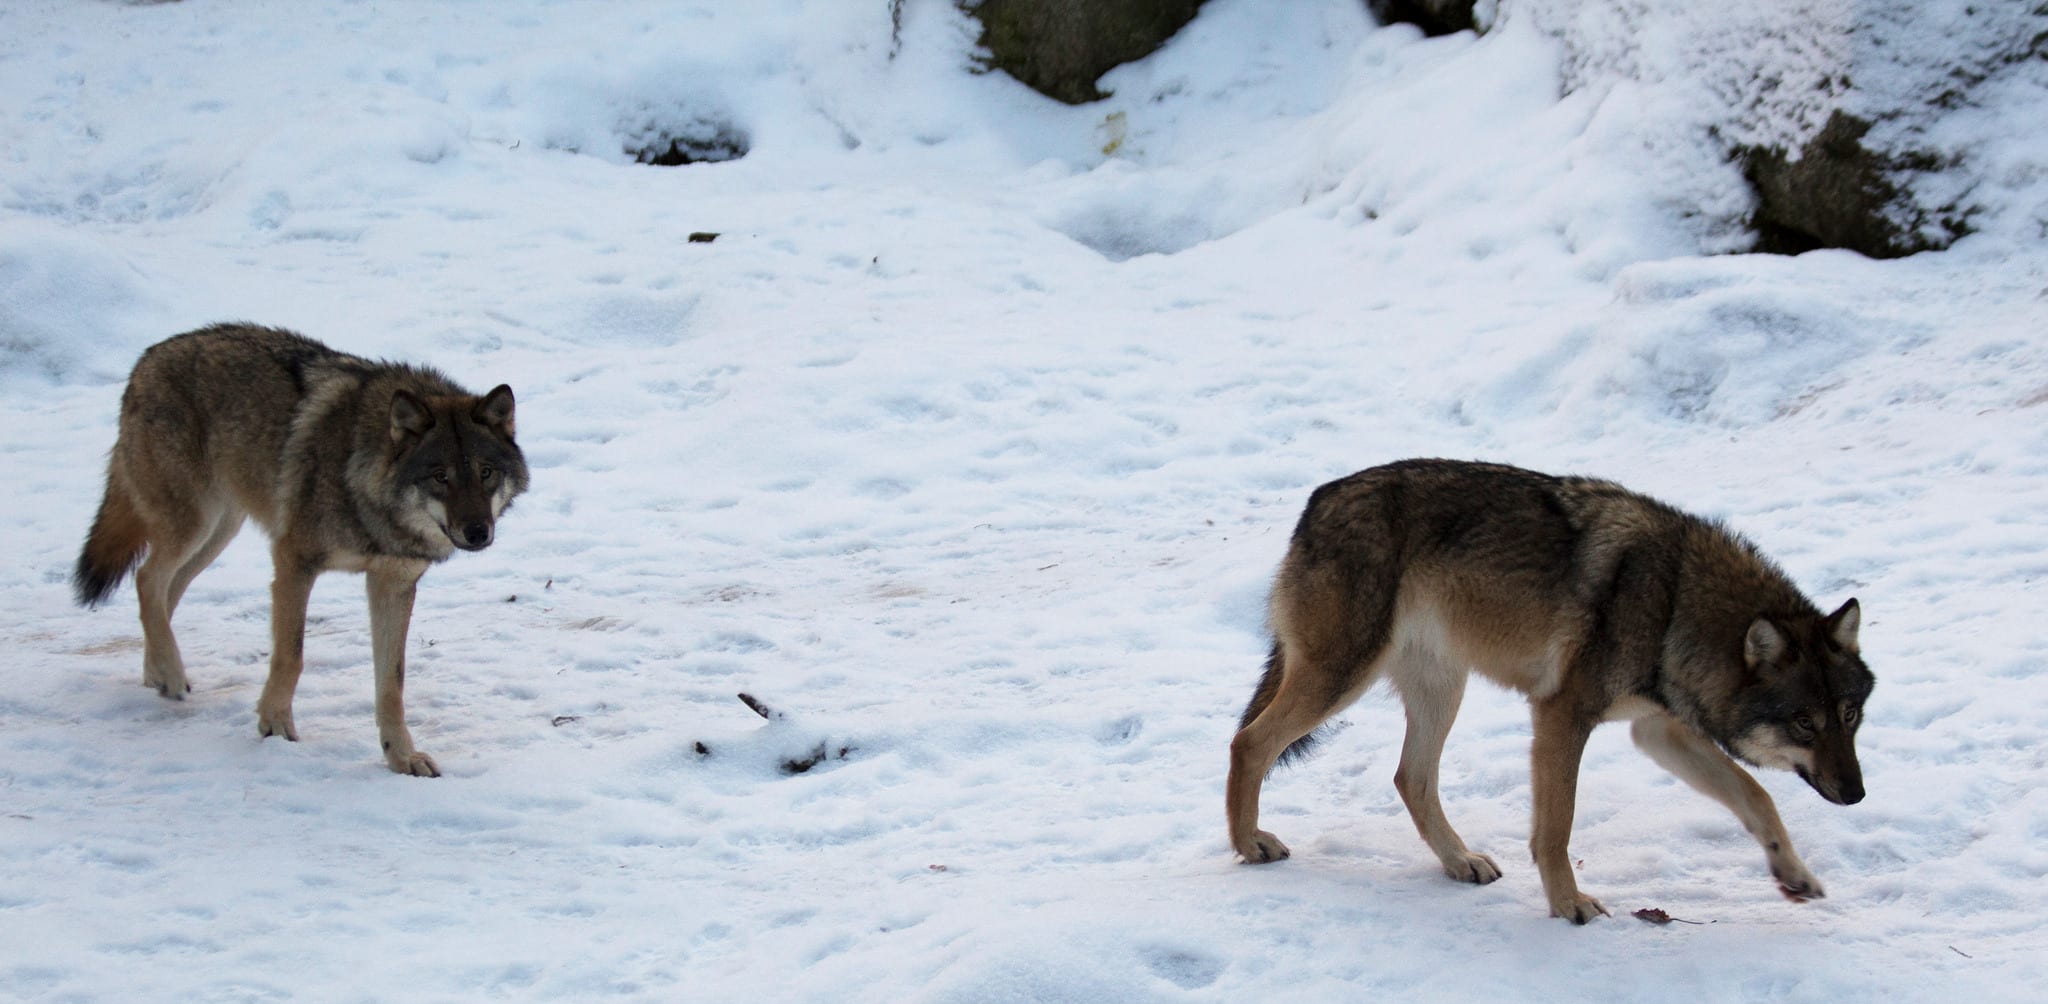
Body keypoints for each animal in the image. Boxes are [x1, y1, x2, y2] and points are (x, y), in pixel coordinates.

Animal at [74, 323, 528, 774]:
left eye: (485, 472)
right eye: (440, 476)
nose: (477, 532)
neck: (360, 478)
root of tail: (147, 358)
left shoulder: (392, 585)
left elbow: (392, 683)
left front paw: (400, 756)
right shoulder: (293, 563)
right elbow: (291, 656)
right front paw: (274, 725)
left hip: (216, 534)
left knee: (163, 591)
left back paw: (158, 673)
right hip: (194, 524)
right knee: (146, 578)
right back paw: (169, 672)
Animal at [1220, 458, 1875, 922]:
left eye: (1849, 715)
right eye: (1805, 723)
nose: (1858, 794)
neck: (1675, 601)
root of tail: (1317, 501)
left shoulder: (1657, 730)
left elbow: (1755, 797)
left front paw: (1794, 874)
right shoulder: (1563, 714)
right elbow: (1556, 829)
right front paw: (1568, 906)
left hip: (1441, 689)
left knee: (1410, 777)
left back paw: (1460, 862)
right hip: (1342, 678)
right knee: (1248, 743)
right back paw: (1250, 844)